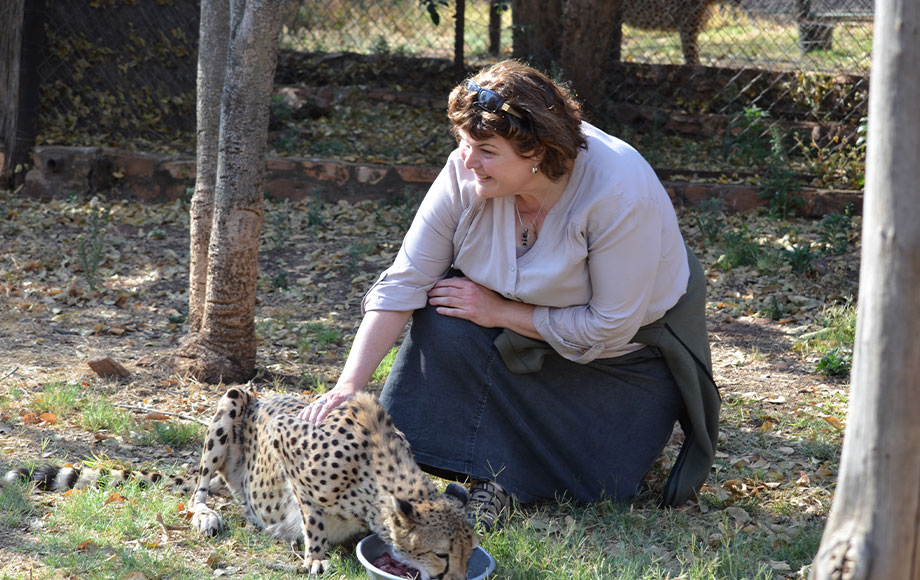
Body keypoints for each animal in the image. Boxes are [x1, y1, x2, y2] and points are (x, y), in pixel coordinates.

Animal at [7, 388, 478, 576]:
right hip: (233, 400)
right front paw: (315, 556)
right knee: (200, 488)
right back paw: (206, 515)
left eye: (469, 555)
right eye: (440, 555)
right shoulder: (287, 442)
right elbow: (312, 517)